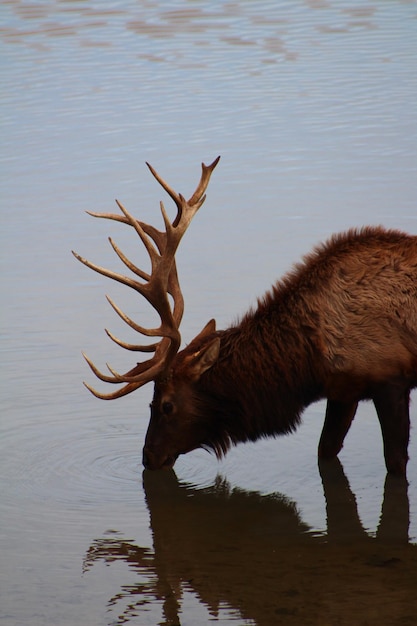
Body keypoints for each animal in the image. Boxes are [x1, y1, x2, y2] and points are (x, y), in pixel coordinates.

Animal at [72, 156, 416, 472]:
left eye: (166, 405)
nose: (148, 457)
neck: (309, 363)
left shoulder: (389, 380)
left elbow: (394, 462)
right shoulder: (343, 390)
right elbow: (326, 450)